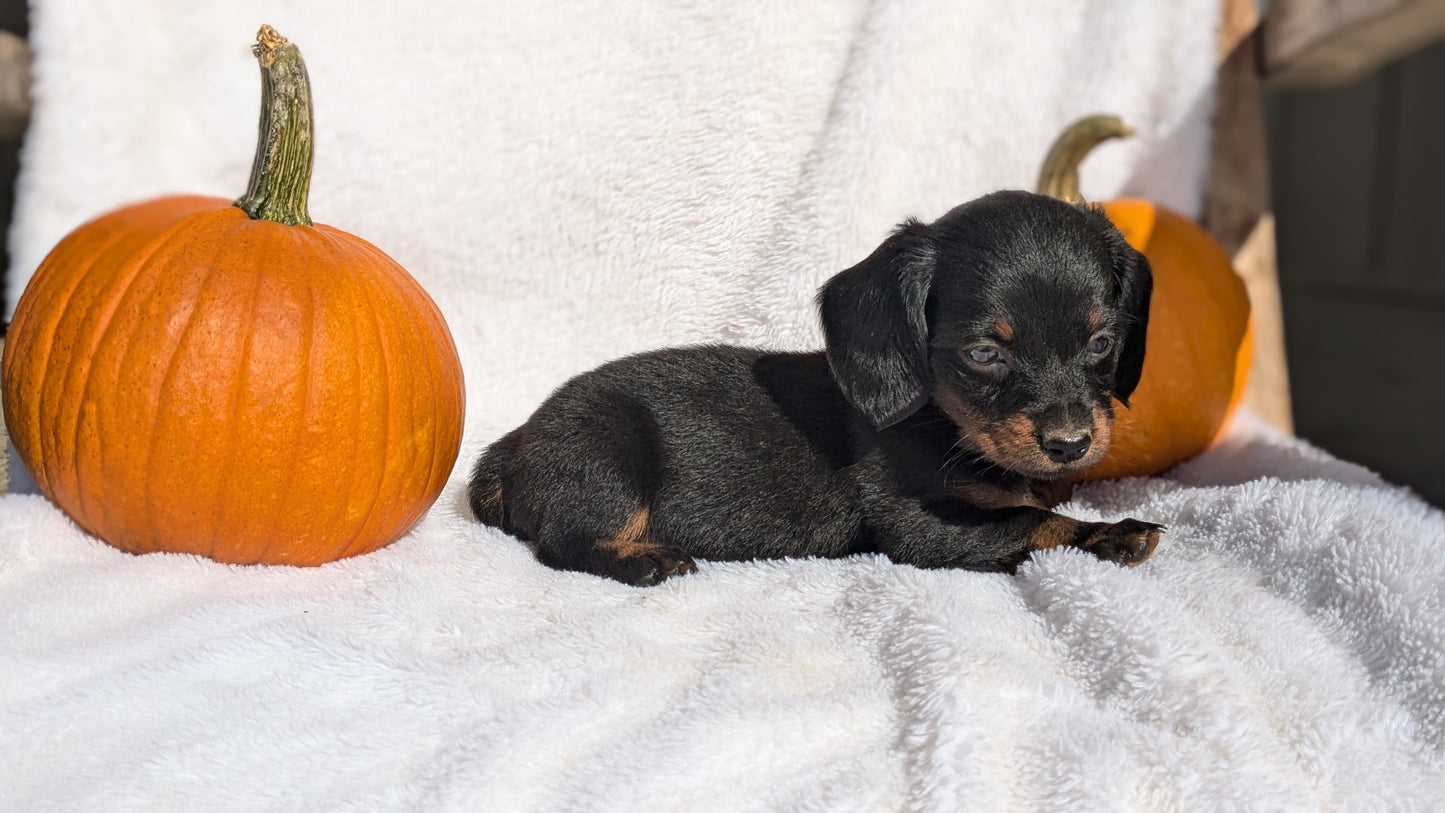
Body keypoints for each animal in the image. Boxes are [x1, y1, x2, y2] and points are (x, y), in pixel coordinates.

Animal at [468, 190, 1167, 586]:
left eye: (1101, 344)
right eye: (984, 354)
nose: (1071, 444)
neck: (945, 424)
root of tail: (513, 446)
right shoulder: (920, 525)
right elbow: (1033, 520)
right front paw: (1112, 534)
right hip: (606, 457)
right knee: (562, 544)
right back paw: (645, 561)